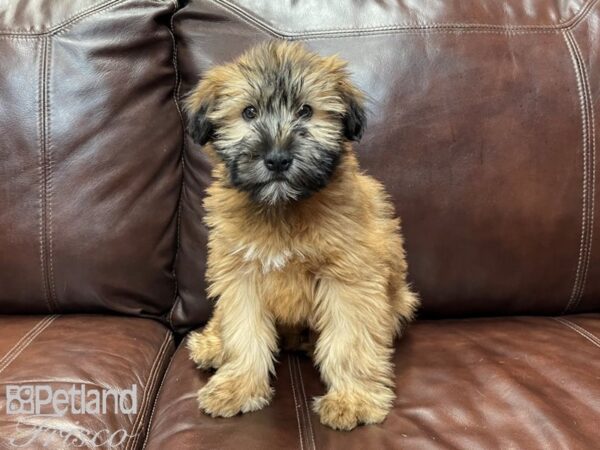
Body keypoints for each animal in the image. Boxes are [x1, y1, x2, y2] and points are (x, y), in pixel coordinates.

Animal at [184, 42, 418, 432]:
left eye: (306, 111)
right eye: (249, 112)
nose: (277, 159)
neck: (283, 208)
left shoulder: (349, 279)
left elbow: (349, 341)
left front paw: (352, 398)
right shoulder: (241, 275)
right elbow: (243, 331)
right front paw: (239, 385)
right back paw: (212, 344)